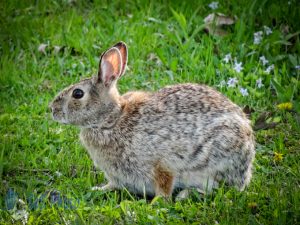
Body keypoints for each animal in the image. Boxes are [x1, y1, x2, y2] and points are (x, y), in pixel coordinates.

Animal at [49, 41, 255, 199]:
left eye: (77, 94)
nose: (52, 109)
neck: (110, 120)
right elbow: (113, 184)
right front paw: (98, 189)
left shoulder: (162, 164)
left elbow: (164, 185)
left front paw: (157, 203)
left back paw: (185, 194)